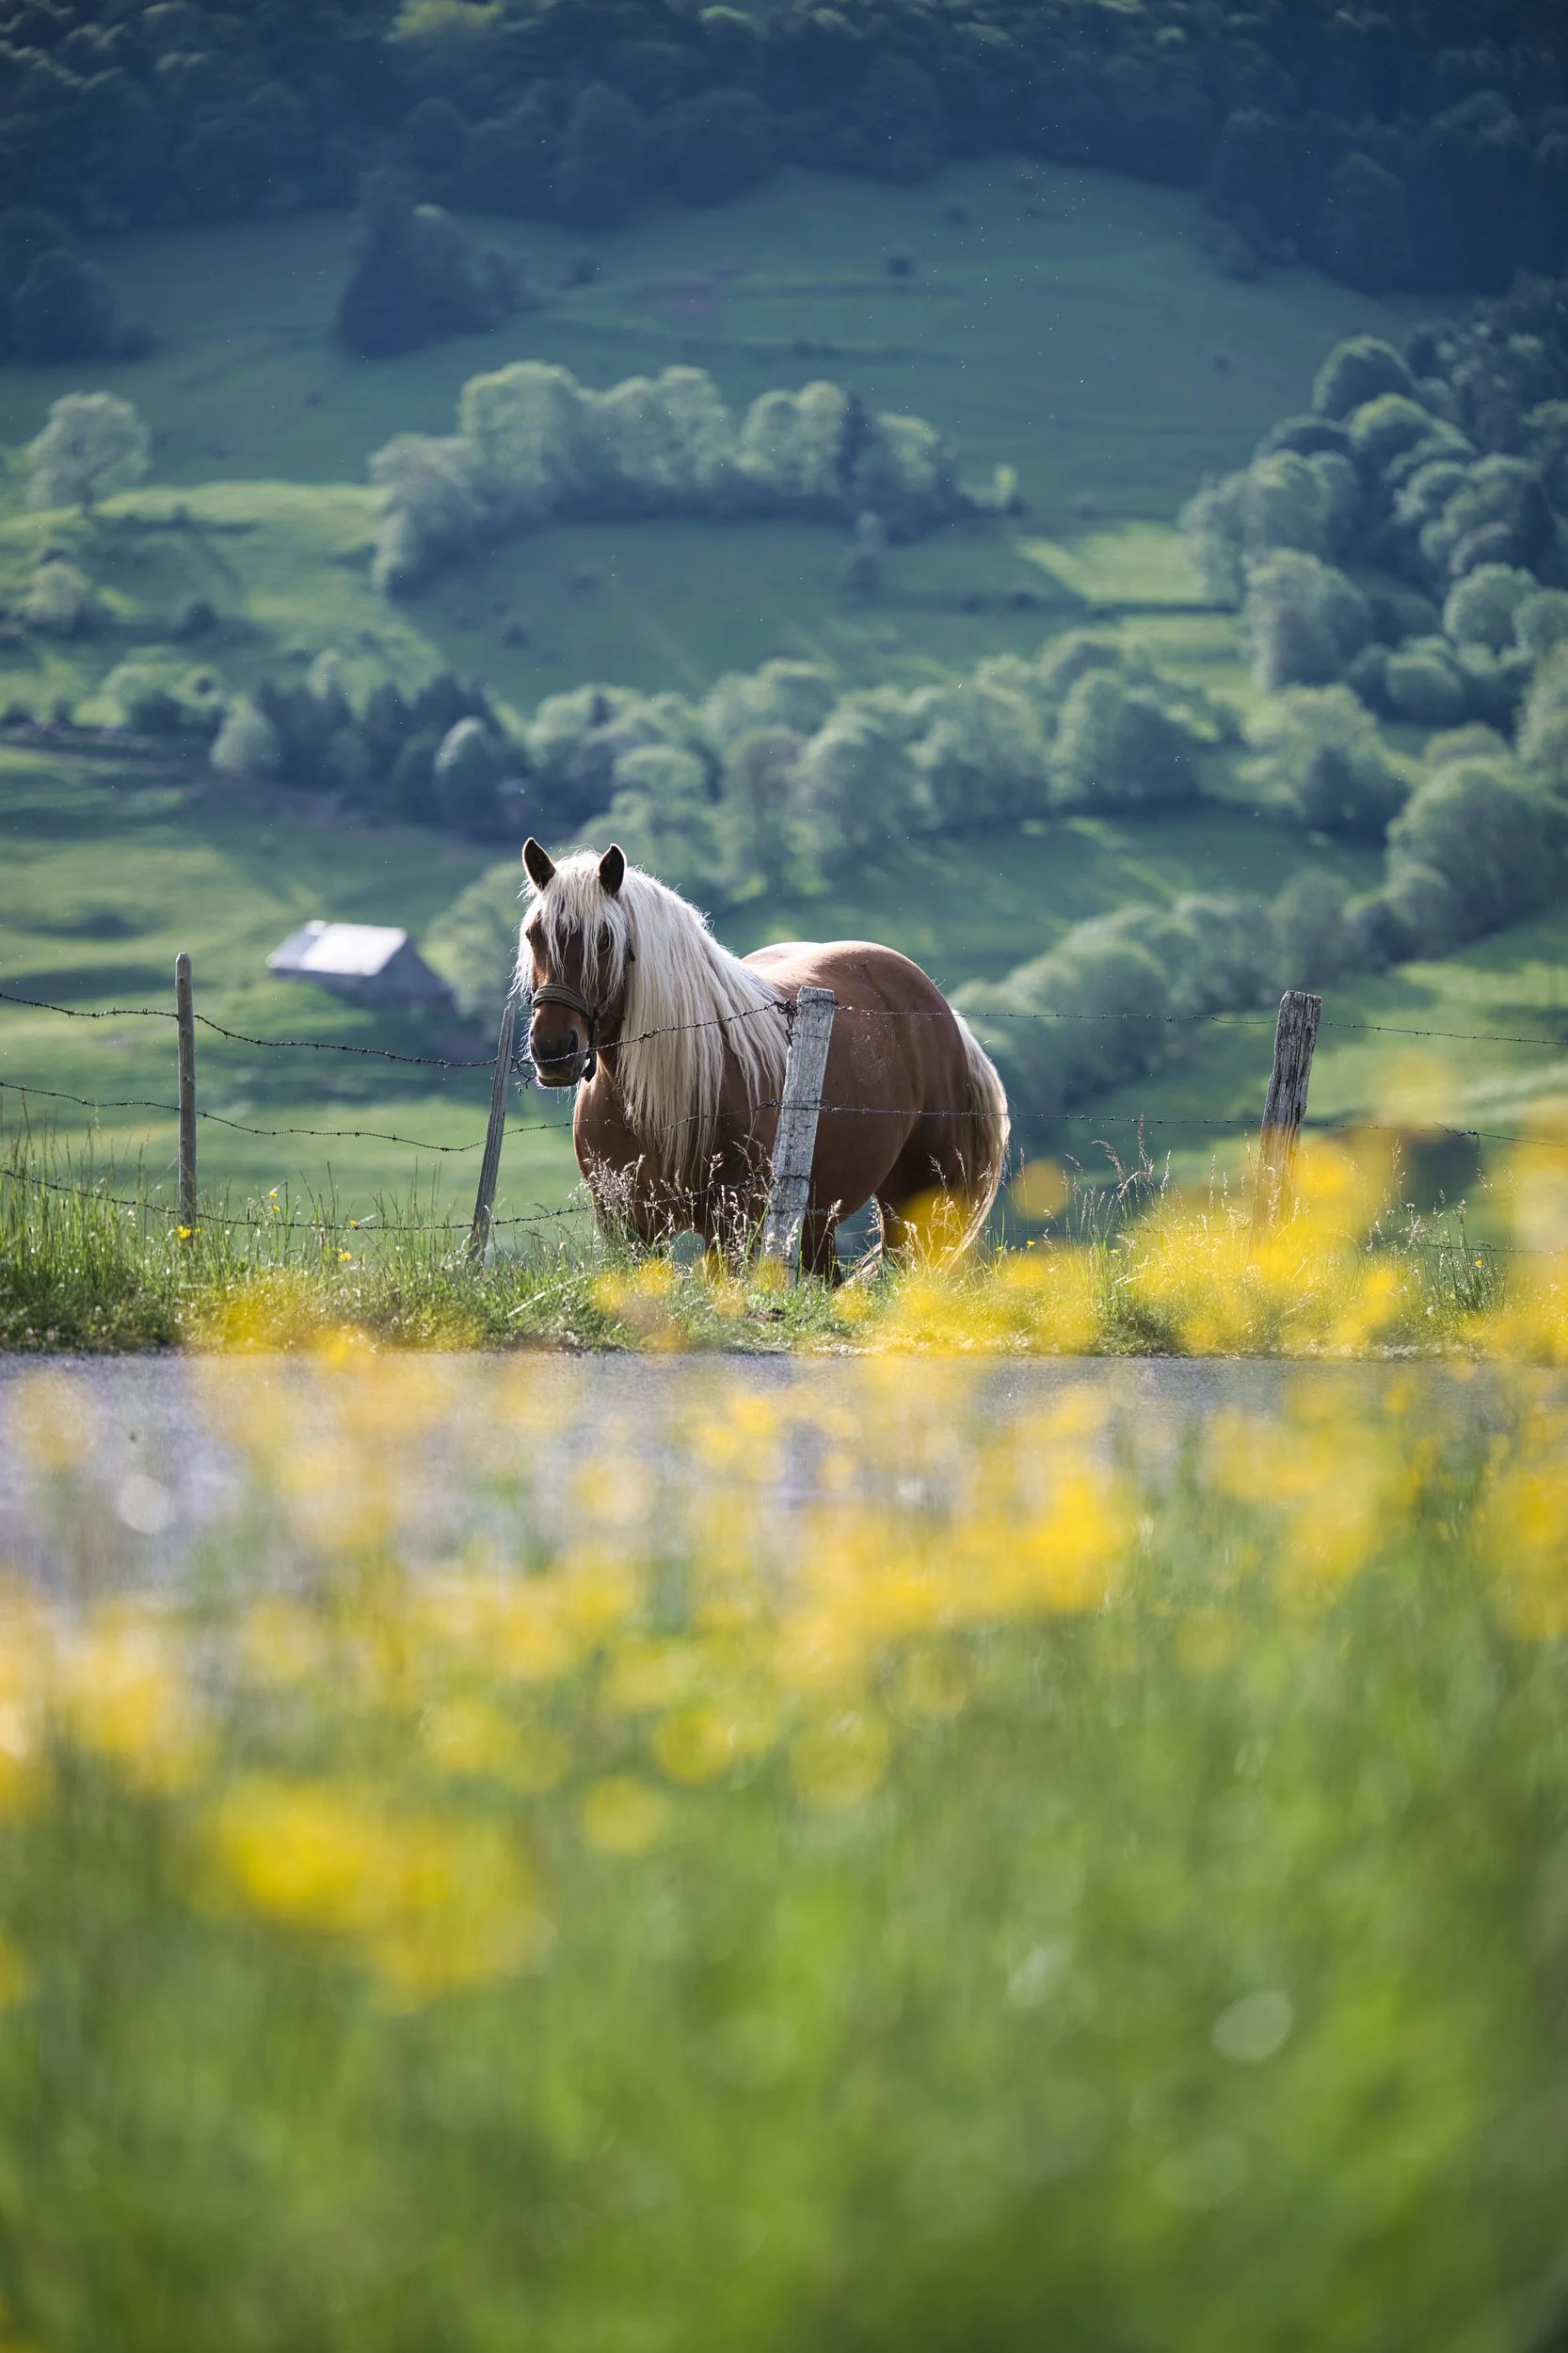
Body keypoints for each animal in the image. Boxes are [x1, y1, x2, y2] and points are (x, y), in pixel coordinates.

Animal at [518, 838, 1010, 1276]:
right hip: (817, 1220)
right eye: (533, 934)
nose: (553, 1048)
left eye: (604, 939)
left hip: (916, 1205)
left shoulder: (730, 1225)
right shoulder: (628, 1228)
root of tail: (940, 1008)